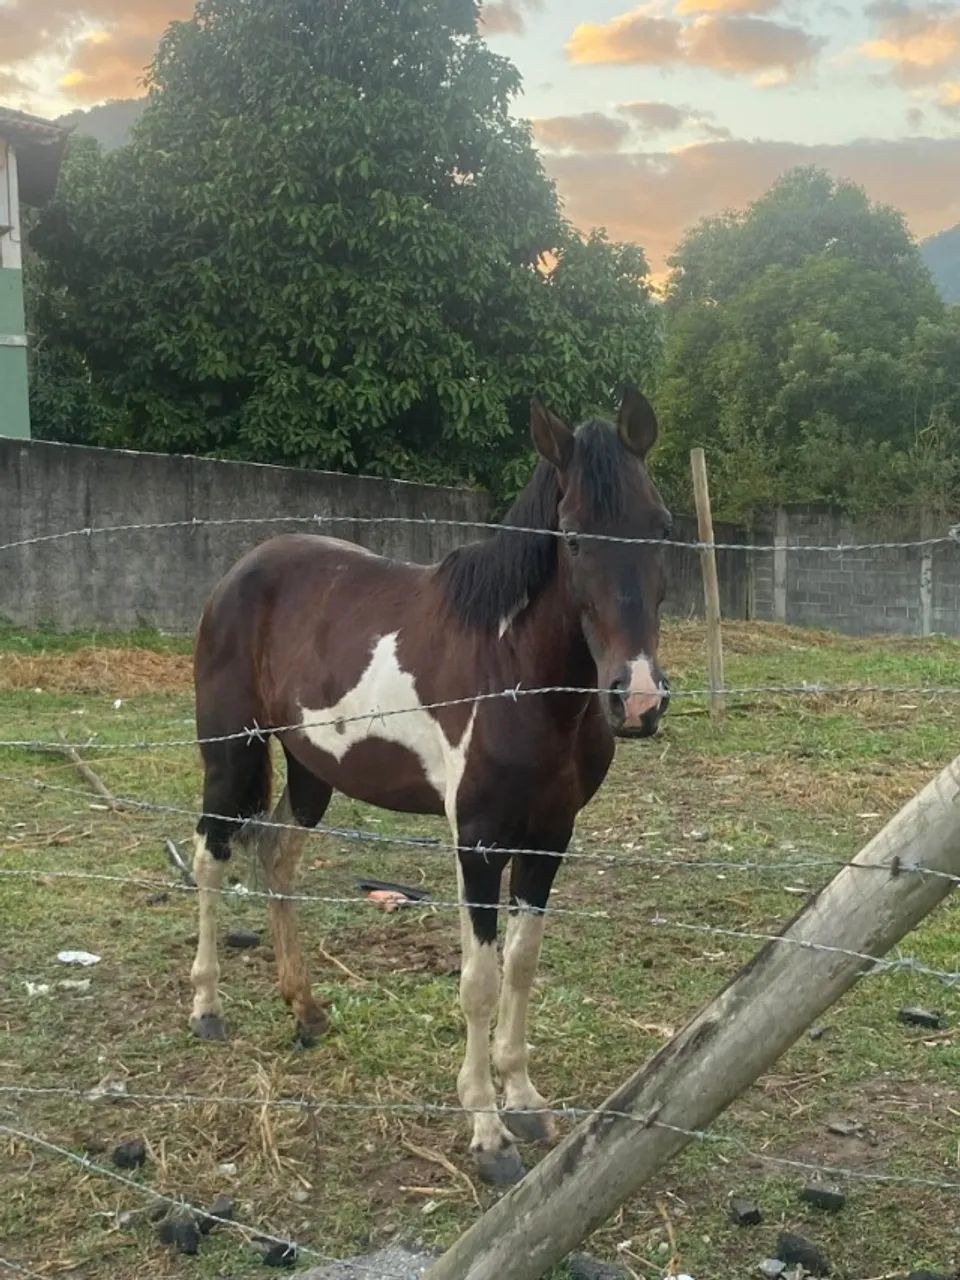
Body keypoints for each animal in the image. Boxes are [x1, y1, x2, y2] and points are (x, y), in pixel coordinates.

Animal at [188, 387, 671, 1185]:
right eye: (572, 537)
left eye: (661, 527)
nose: (635, 700)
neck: (518, 674)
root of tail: (240, 572)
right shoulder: (477, 841)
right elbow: (478, 980)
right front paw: (487, 1132)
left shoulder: (550, 837)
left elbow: (521, 965)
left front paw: (524, 1100)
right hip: (230, 755)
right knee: (211, 857)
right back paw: (205, 1007)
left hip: (312, 770)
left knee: (276, 857)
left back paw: (306, 1010)